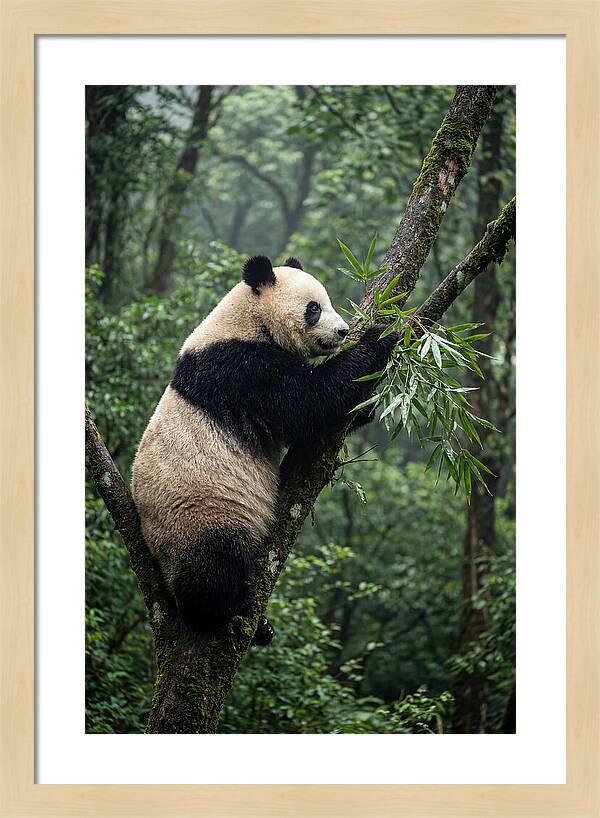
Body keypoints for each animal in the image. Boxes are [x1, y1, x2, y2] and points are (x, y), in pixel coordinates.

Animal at [131, 255, 397, 644]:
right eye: (314, 309)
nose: (343, 332)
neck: (248, 319)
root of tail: (155, 555)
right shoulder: (239, 368)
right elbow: (305, 402)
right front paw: (380, 336)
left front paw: (365, 407)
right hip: (198, 513)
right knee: (213, 565)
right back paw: (227, 611)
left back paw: (262, 627)